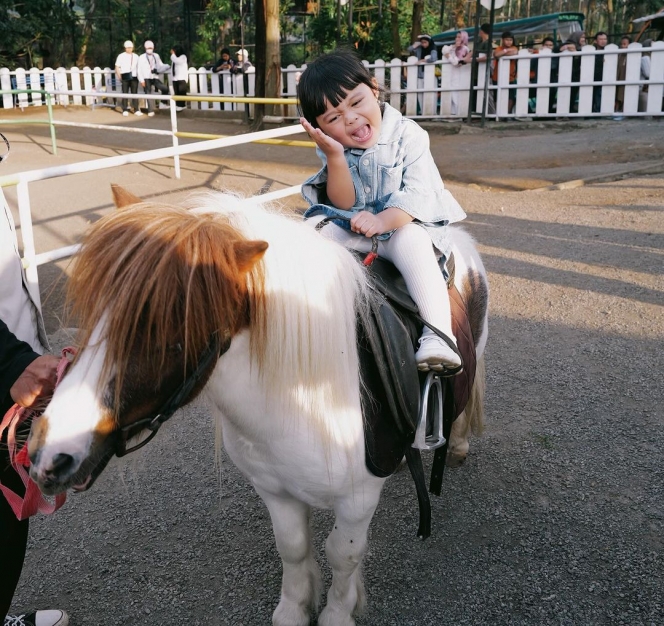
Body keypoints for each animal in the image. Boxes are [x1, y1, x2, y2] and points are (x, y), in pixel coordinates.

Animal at [27, 191, 488, 624]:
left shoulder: (358, 499)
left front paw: (338, 612)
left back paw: (458, 442)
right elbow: (293, 547)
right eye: (92, 314)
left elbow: (343, 554)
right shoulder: (274, 490)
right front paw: (294, 609)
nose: (47, 456)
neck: (304, 398)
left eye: (168, 334)